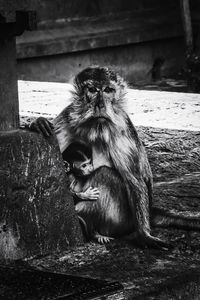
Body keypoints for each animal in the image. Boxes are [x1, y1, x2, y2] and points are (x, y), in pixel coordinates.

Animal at [29, 67, 200, 247]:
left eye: (108, 90)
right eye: (92, 90)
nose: (100, 105)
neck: (95, 127)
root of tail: (151, 210)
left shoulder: (121, 129)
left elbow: (134, 180)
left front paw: (144, 235)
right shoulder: (67, 119)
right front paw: (38, 123)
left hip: (121, 219)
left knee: (105, 174)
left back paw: (93, 230)